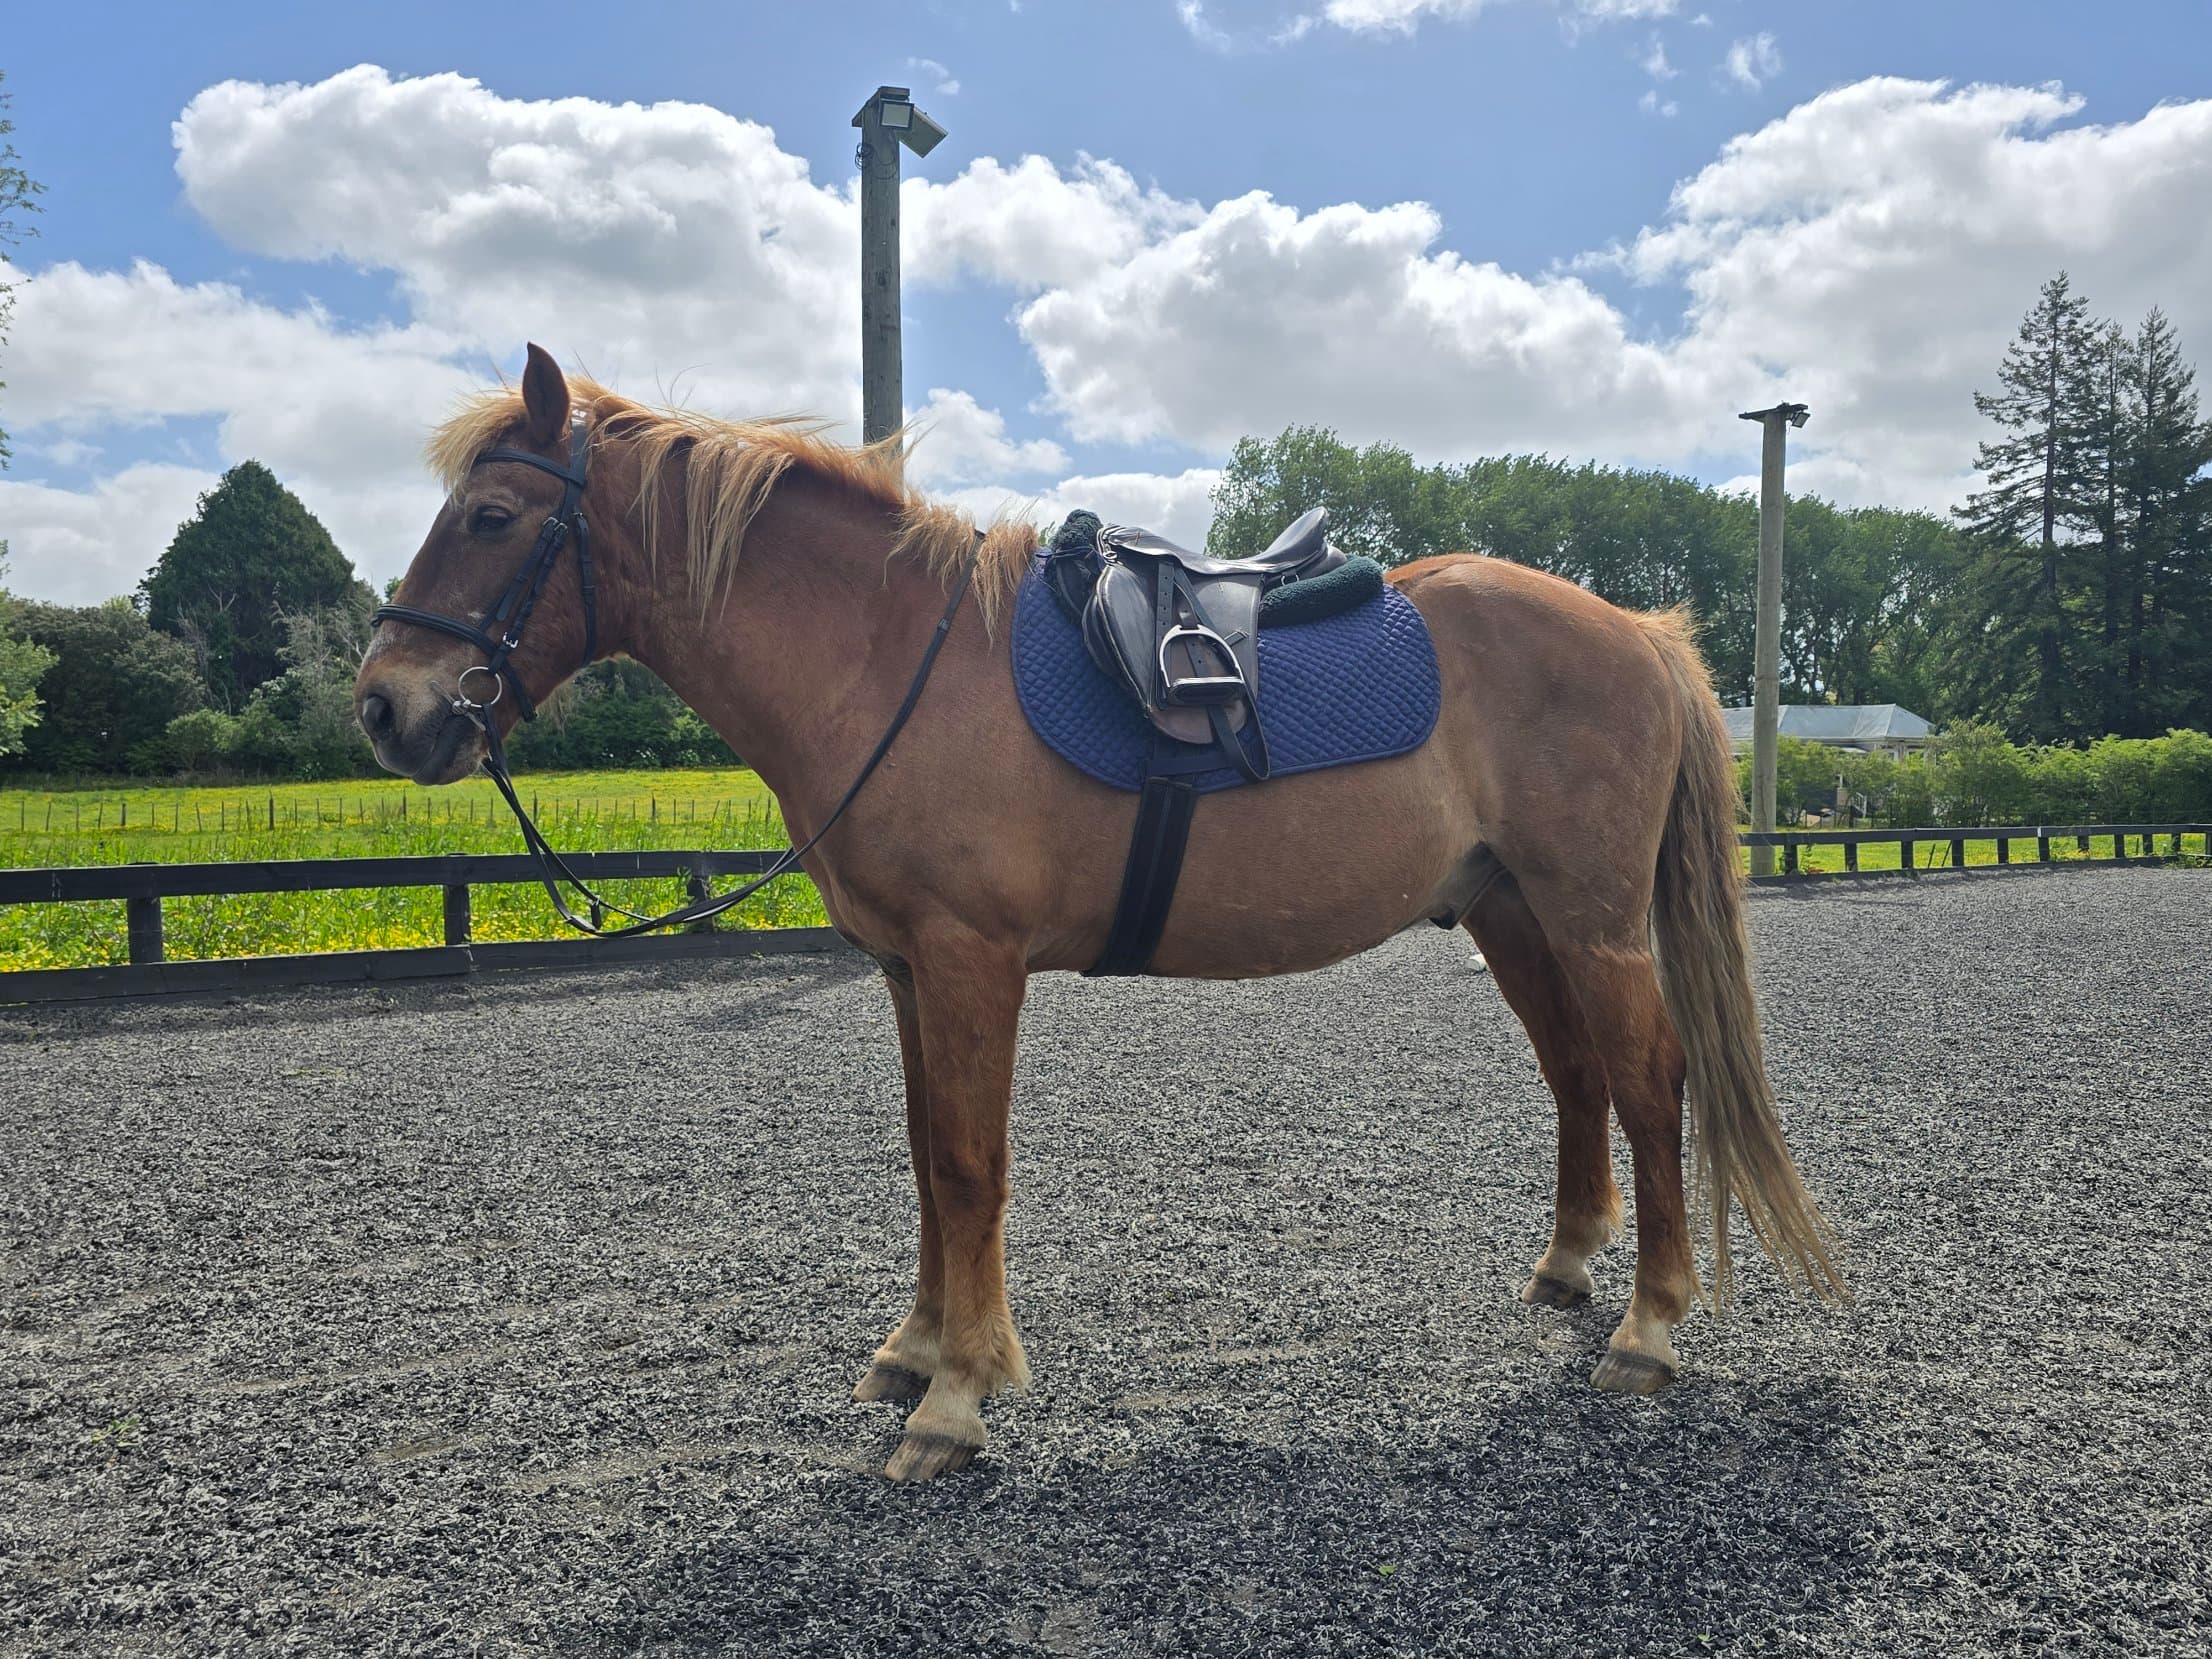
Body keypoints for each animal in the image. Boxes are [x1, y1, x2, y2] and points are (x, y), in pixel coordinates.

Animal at [356, 344, 1846, 1483]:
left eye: (492, 517)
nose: (384, 706)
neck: (888, 658)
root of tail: (1639, 632)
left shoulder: (971, 960)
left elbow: (968, 1164)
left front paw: (957, 1397)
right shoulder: (908, 970)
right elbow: (925, 1157)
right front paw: (913, 1351)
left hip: (1590, 919)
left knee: (1649, 1082)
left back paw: (1649, 1328)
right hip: (1511, 914)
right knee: (1578, 1074)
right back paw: (1568, 1267)